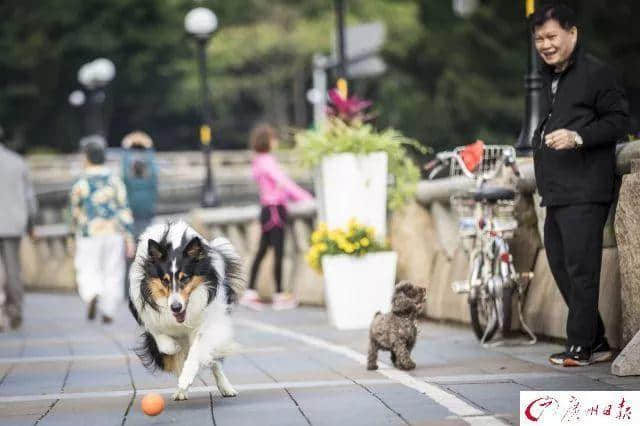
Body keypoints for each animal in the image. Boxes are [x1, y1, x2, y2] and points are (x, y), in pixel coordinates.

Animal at [129, 221, 244, 402]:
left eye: (185, 278)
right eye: (165, 281)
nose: (175, 307)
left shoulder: (208, 321)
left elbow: (197, 351)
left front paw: (186, 377)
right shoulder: (145, 313)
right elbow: (161, 339)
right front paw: (172, 347)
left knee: (214, 361)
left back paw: (226, 388)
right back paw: (180, 390)